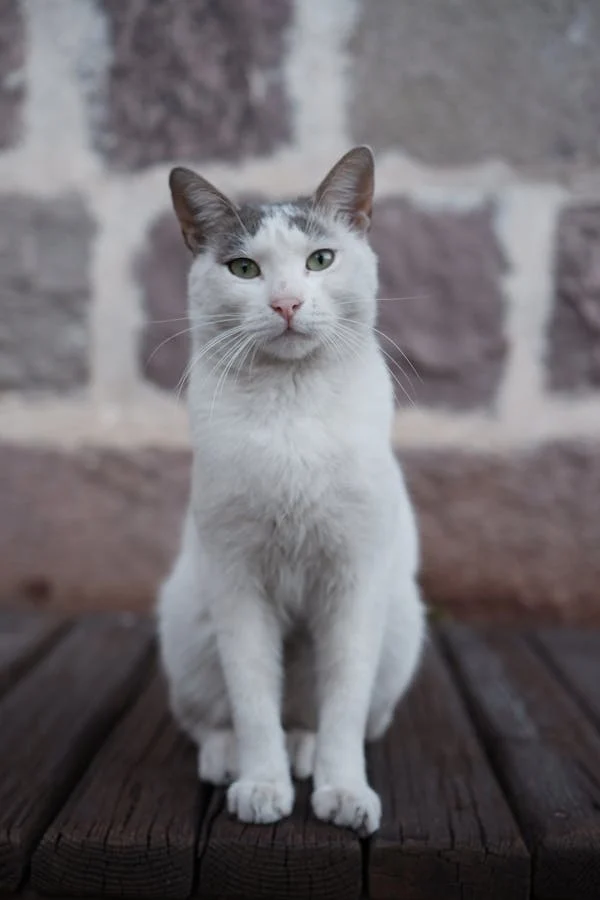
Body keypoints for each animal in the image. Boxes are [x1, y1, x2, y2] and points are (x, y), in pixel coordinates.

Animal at [157, 148, 424, 836]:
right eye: (244, 269)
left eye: (320, 260)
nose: (285, 304)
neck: (291, 405)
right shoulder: (237, 581)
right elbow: (253, 702)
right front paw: (261, 785)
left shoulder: (356, 582)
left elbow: (345, 707)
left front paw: (345, 791)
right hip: (188, 621)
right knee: (208, 719)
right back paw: (229, 760)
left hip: (400, 629)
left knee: (318, 716)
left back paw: (305, 752)